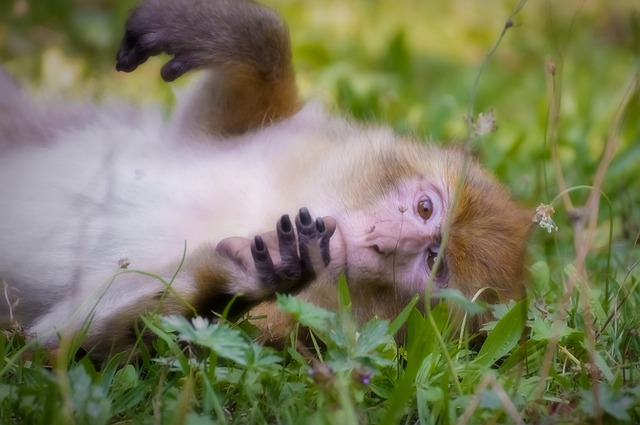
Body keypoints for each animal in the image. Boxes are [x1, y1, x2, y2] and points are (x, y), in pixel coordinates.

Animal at [0, 0, 528, 358]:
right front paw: (226, 30)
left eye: (432, 261)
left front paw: (250, 276)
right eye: (425, 208)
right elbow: (218, 112)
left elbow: (71, 344)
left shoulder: (277, 331)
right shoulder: (286, 139)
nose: (384, 239)